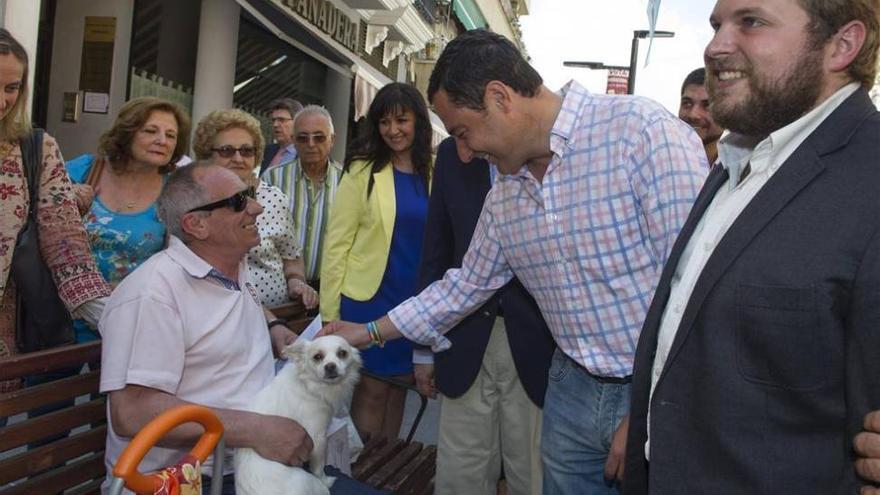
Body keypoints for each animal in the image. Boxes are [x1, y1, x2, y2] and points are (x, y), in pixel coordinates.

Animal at [234, 334, 360, 495]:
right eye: (317, 357)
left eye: (342, 353)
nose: (330, 366)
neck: (309, 385)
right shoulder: (317, 438)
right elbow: (318, 468)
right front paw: (326, 479)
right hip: (309, 482)